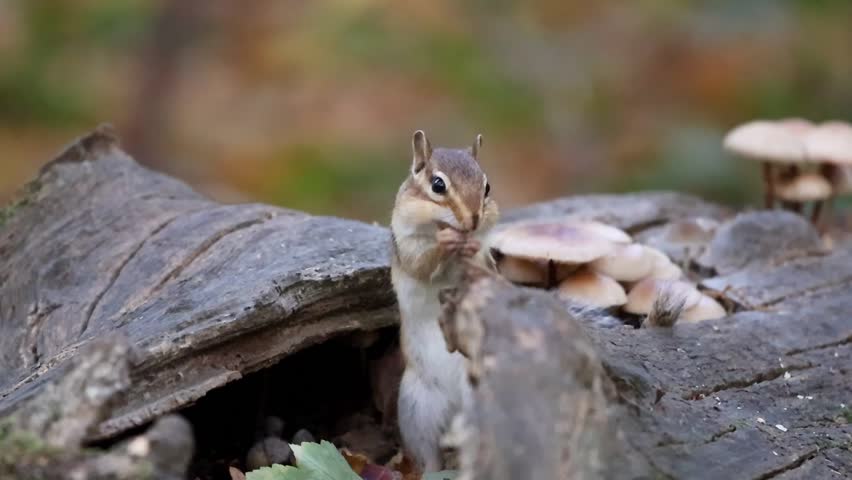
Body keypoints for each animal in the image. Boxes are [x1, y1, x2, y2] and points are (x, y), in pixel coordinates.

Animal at [390, 130, 499, 472]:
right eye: (438, 185)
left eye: (486, 187)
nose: (474, 219)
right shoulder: (408, 245)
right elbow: (422, 263)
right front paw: (445, 242)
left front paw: (470, 247)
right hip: (416, 409)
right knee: (428, 458)